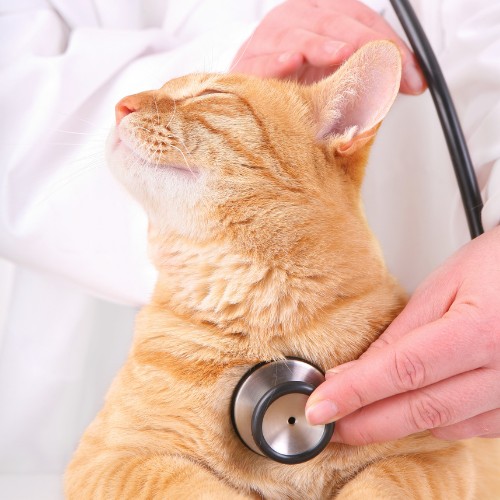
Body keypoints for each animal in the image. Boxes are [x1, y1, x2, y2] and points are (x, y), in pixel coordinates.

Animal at [64, 41, 500, 498]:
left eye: (209, 94)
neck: (260, 312)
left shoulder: (432, 459)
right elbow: (191, 485)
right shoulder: (112, 458)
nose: (120, 105)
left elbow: (380, 484)